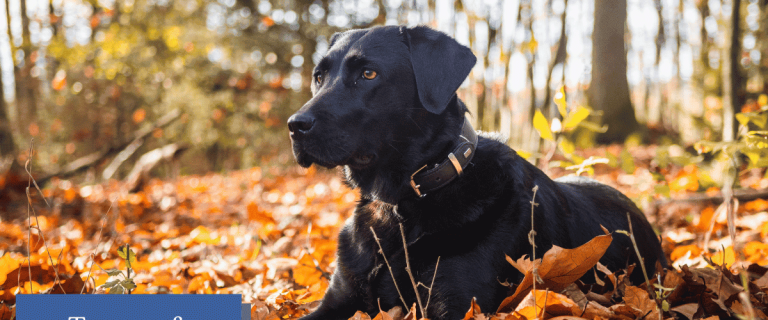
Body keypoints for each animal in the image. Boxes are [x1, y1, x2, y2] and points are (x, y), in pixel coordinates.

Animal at [288, 25, 664, 320]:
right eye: (319, 77)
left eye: (368, 74)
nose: (295, 126)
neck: (400, 204)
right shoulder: (339, 298)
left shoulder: (455, 303)